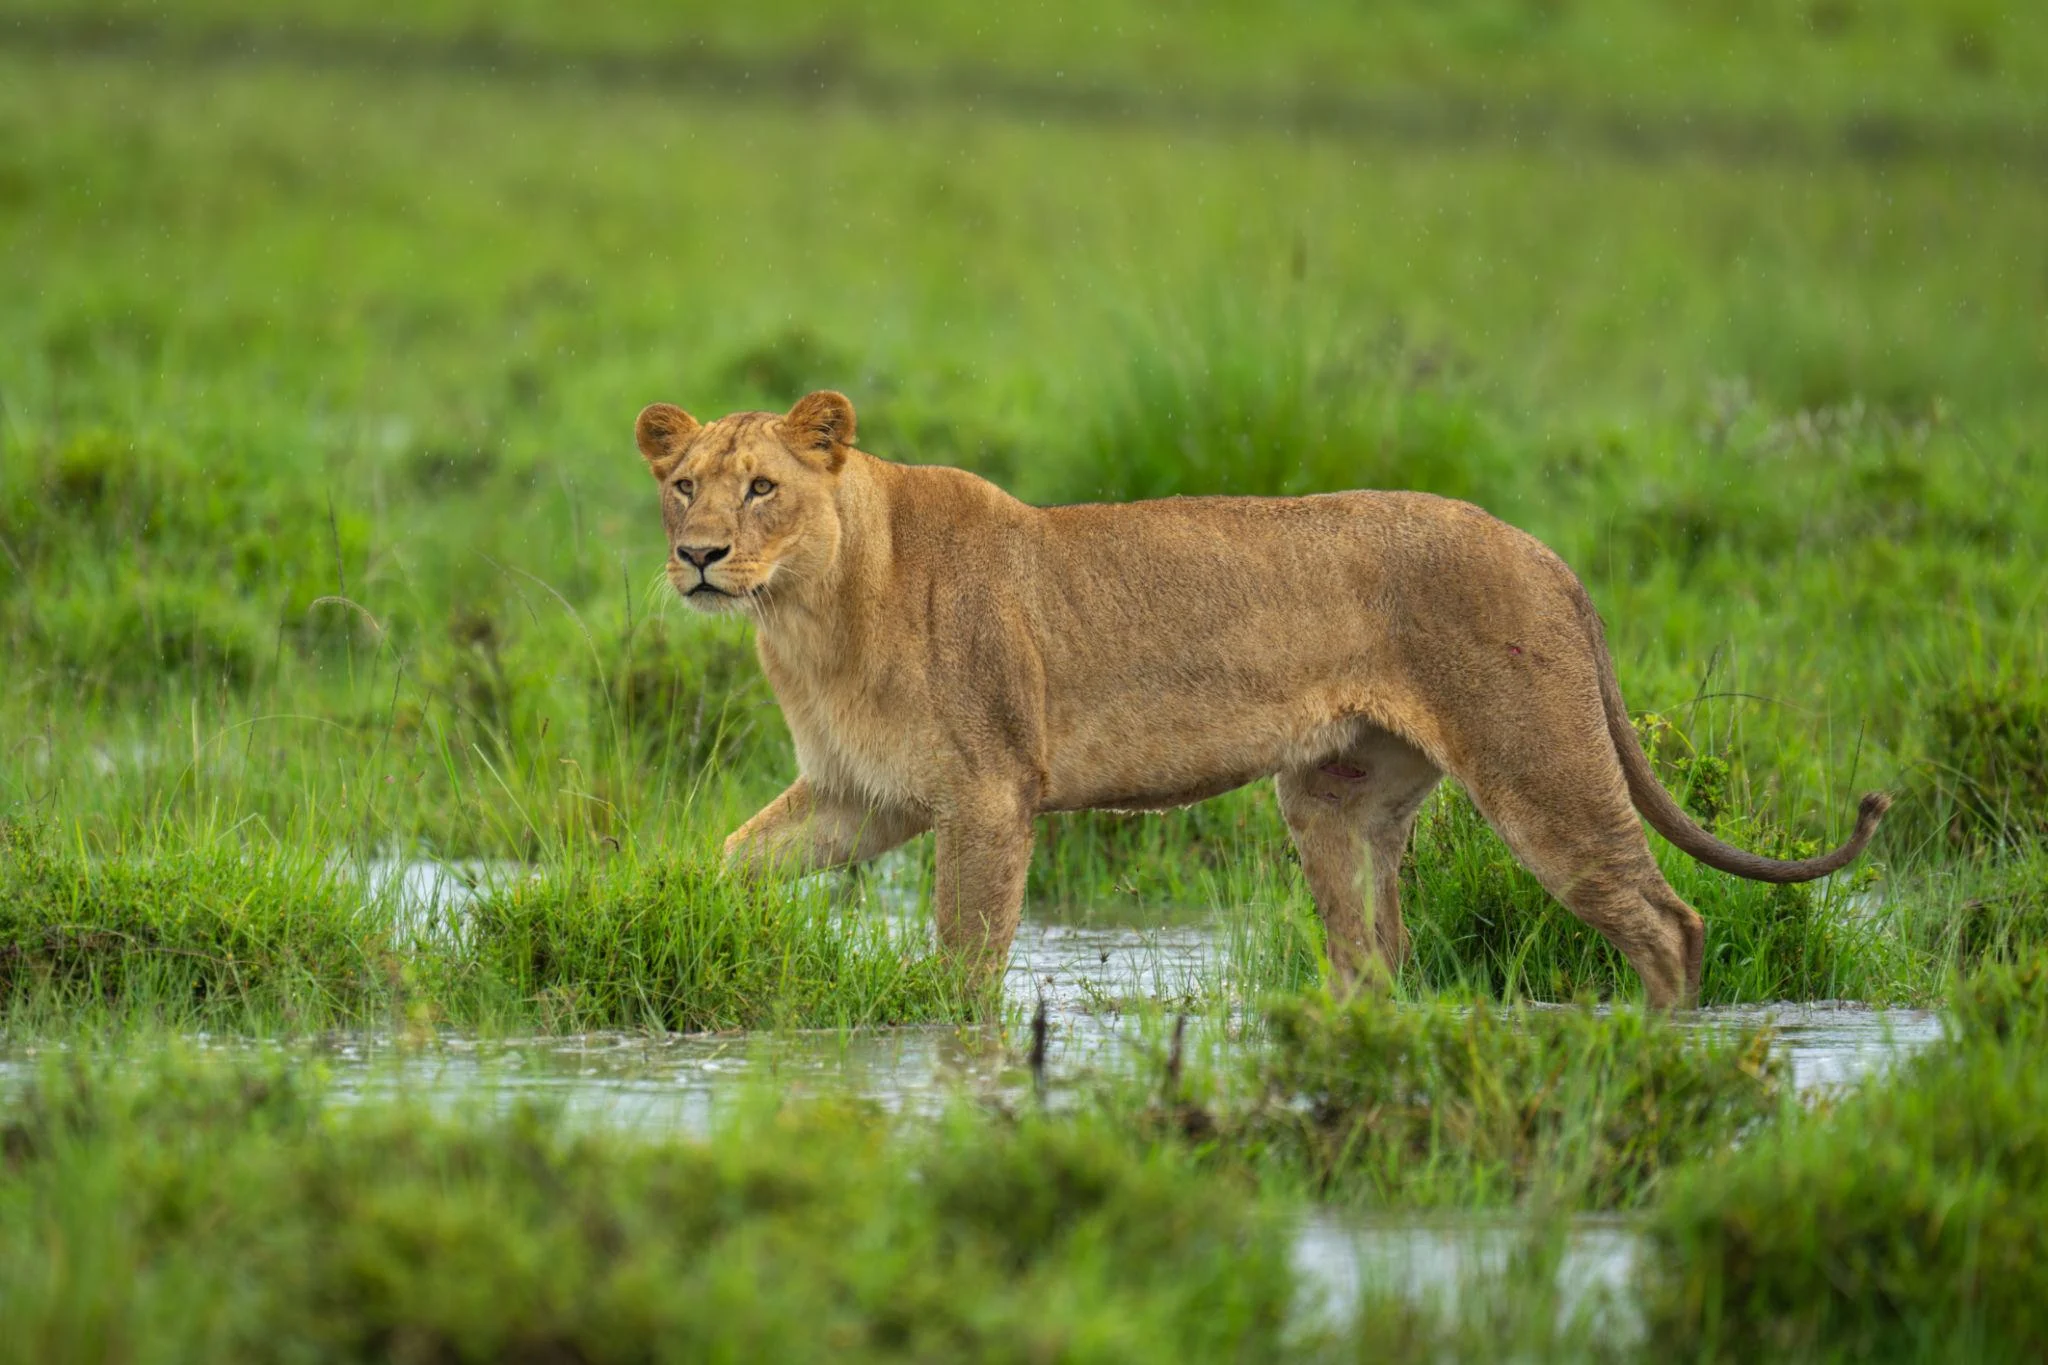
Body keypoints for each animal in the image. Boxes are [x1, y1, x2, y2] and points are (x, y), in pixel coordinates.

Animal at [634, 390, 1889, 1008]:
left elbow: (965, 970)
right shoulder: (860, 796)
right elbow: (723, 861)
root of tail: (1545, 553)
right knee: (1372, 960)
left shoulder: (989, 795)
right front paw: (670, 914)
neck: (808, 615)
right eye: (682, 486)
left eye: (762, 487)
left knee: (1666, 923)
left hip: (1538, 769)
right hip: (1334, 802)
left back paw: (1651, 1066)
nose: (697, 557)